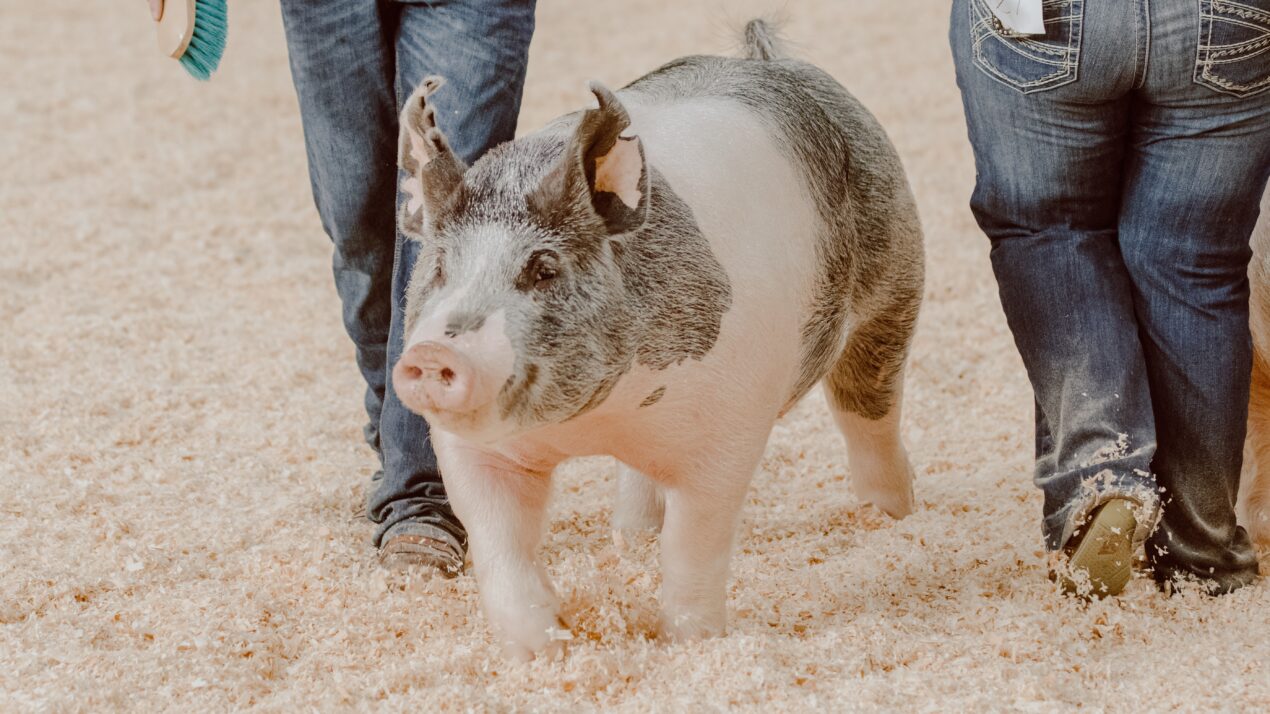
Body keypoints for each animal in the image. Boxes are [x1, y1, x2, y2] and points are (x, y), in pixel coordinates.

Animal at [390, 20, 924, 661]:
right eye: (441, 266)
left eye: (543, 268)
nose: (433, 354)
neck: (593, 423)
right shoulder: (473, 450)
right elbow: (501, 547)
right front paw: (543, 653)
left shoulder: (728, 431)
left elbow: (694, 543)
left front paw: (690, 643)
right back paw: (631, 537)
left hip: (895, 286)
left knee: (868, 411)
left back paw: (894, 518)